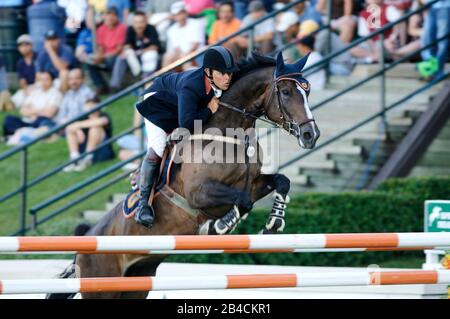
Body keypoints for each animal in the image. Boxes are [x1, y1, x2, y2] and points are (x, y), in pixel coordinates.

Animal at [48, 52, 320, 300]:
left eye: (307, 91)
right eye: (286, 92)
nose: (311, 135)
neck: (230, 134)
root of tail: (82, 246)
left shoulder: (253, 184)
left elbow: (281, 182)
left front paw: (274, 223)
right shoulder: (198, 193)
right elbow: (242, 201)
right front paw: (221, 225)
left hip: (136, 281)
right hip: (102, 284)